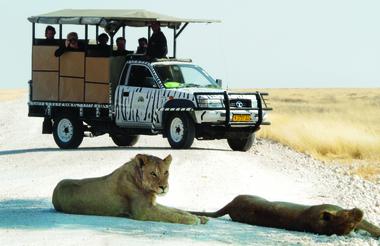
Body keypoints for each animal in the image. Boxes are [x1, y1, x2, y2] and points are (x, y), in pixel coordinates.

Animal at [52, 154, 208, 225]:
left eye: (166, 172)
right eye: (153, 173)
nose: (164, 187)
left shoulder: (152, 204)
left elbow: (176, 210)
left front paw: (201, 217)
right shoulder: (143, 211)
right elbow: (170, 215)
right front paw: (193, 219)